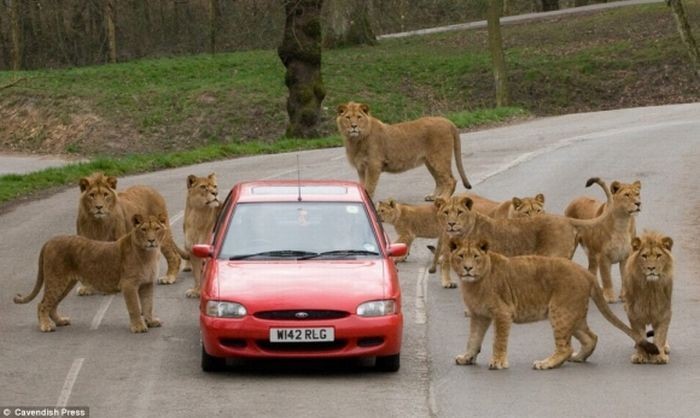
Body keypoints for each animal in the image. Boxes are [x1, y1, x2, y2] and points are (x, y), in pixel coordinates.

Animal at [14, 216, 167, 334]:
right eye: (144, 229)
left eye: (156, 229)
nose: (151, 240)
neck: (149, 255)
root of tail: (49, 241)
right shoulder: (128, 284)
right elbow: (134, 307)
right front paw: (139, 327)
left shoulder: (147, 284)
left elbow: (148, 305)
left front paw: (151, 321)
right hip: (56, 279)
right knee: (42, 304)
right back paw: (46, 326)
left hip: (66, 283)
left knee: (52, 305)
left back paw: (60, 321)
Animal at [338, 100, 474, 200]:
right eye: (348, 117)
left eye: (359, 117)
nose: (354, 126)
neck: (355, 140)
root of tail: (447, 121)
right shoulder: (361, 167)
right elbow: (362, 185)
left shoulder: (373, 165)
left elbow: (369, 186)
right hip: (430, 162)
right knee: (440, 180)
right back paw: (434, 196)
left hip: (439, 158)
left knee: (451, 180)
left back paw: (443, 198)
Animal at [448, 237, 656, 370]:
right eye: (461, 256)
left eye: (475, 256)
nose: (468, 268)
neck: (473, 283)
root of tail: (586, 272)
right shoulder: (479, 315)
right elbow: (473, 338)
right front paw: (466, 357)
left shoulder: (502, 313)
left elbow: (498, 340)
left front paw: (498, 362)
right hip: (573, 315)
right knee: (591, 337)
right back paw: (578, 358)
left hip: (559, 312)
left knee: (565, 347)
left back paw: (546, 363)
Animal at [624, 230, 672, 364]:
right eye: (644, 256)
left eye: (658, 255)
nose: (651, 268)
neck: (650, 289)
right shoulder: (634, 313)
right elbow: (639, 335)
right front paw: (641, 356)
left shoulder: (664, 312)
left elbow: (661, 335)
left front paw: (659, 356)